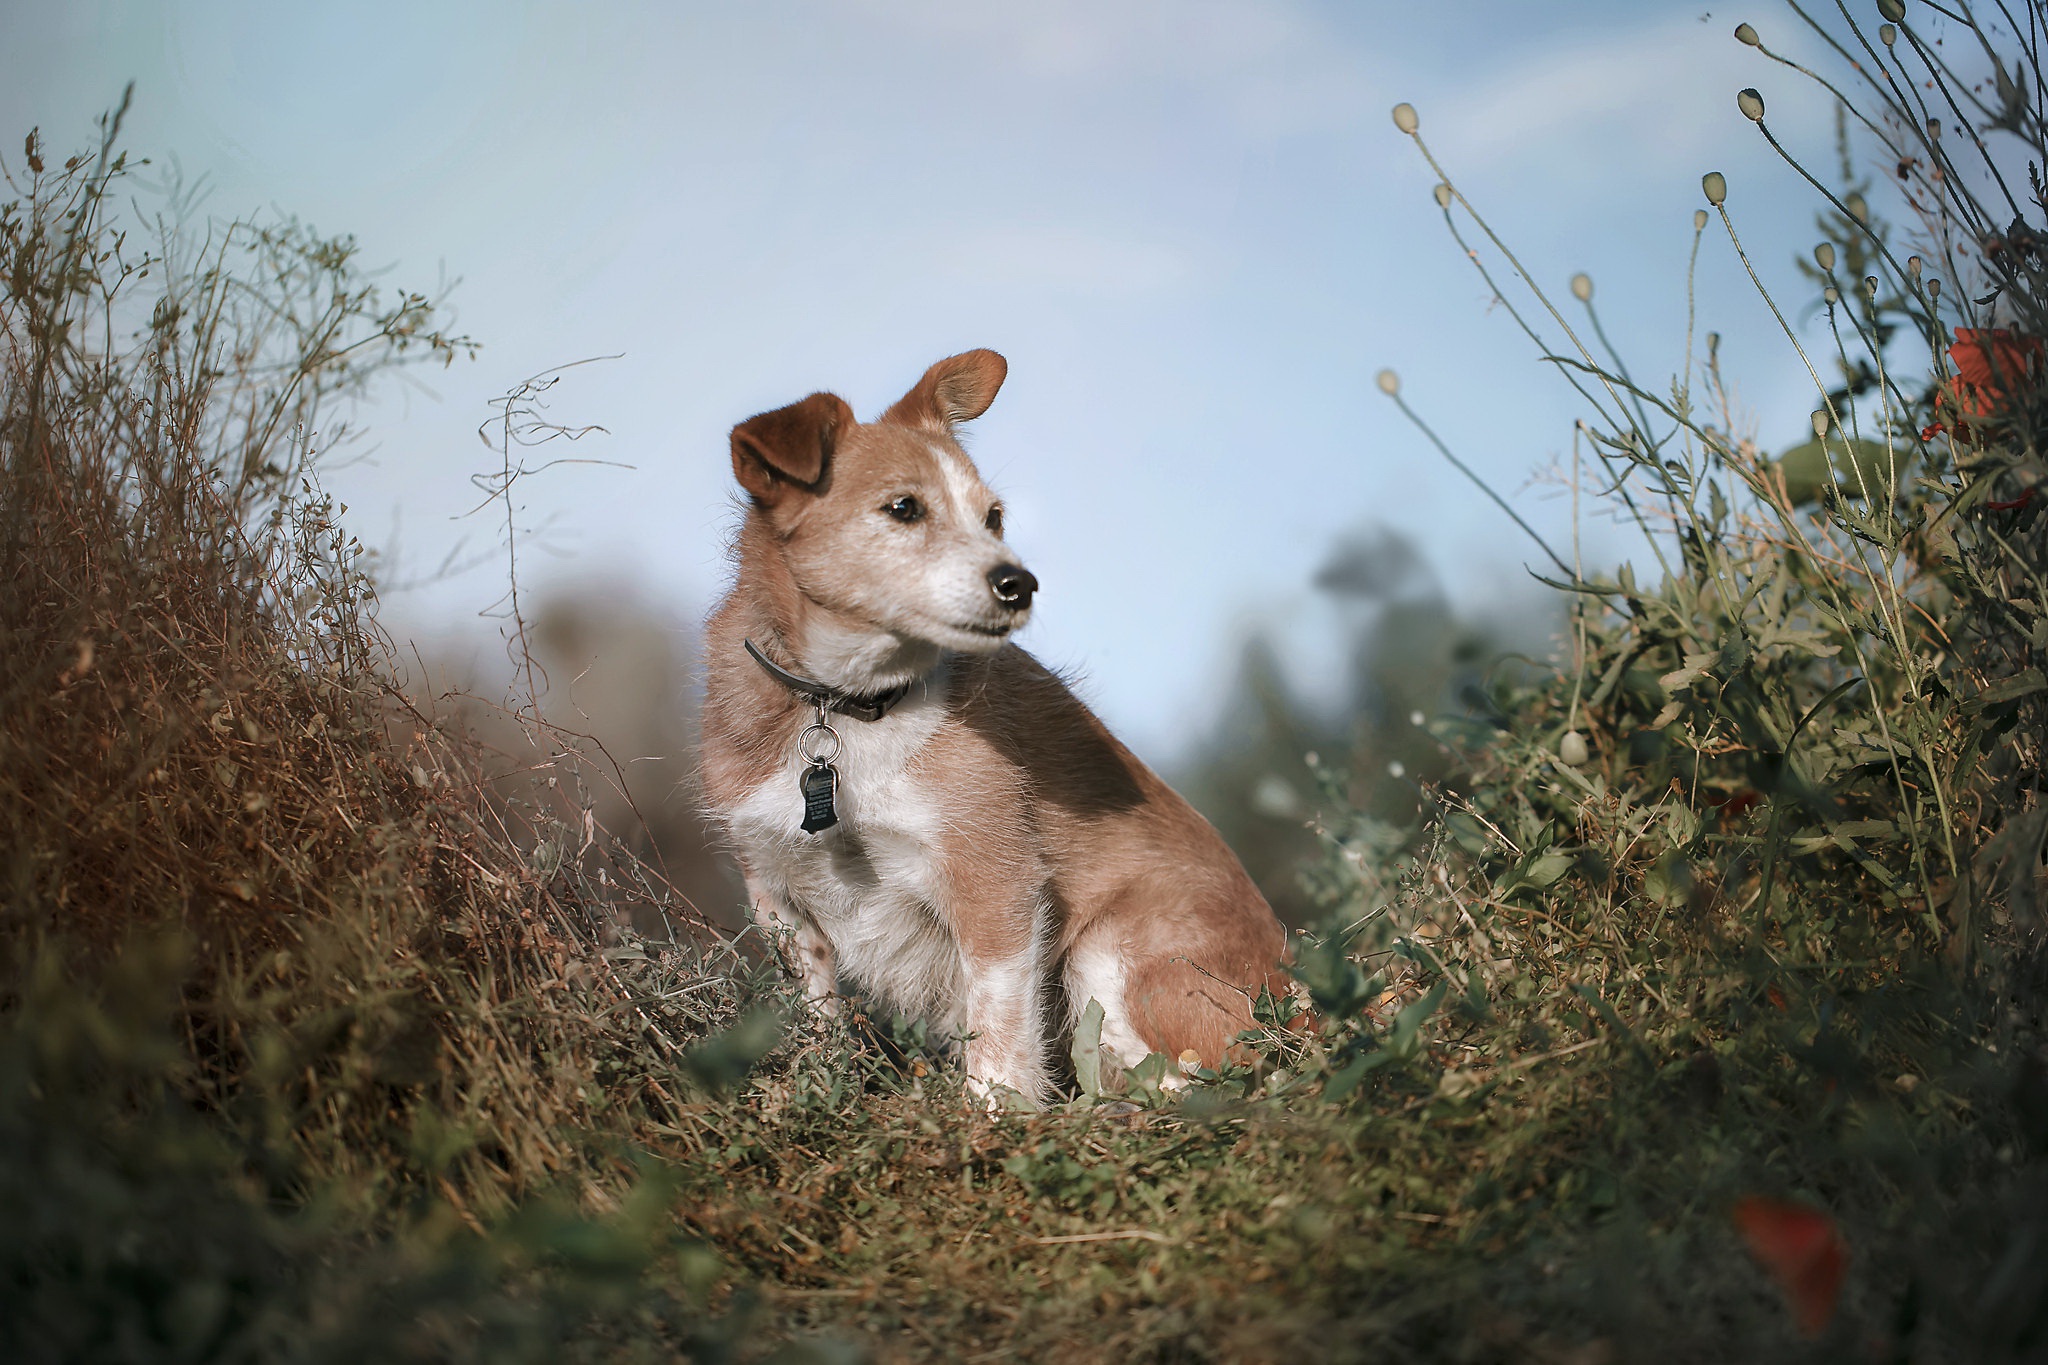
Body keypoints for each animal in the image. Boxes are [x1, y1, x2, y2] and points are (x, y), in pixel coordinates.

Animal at [700, 347, 1277, 1105]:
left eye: (993, 517)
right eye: (904, 508)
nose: (1019, 584)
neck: (851, 705)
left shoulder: (995, 883)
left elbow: (999, 1036)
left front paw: (991, 1119)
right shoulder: (779, 897)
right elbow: (818, 1022)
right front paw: (822, 1093)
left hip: (1107, 950)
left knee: (1202, 1087)